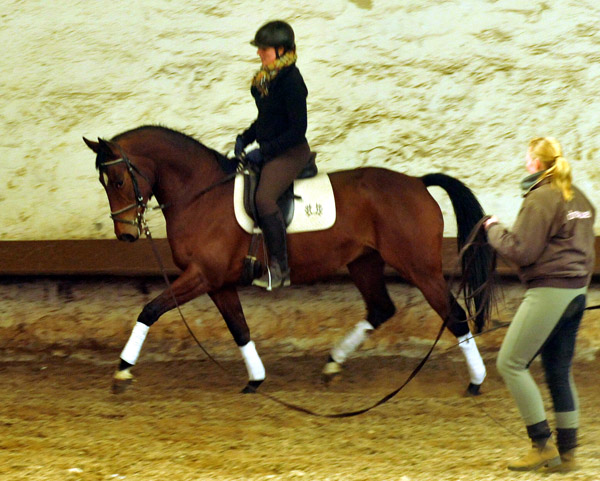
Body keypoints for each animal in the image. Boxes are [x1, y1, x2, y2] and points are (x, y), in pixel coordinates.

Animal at [84, 125, 496, 396]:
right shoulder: (218, 282)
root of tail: (417, 183)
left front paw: (122, 371)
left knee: (454, 314)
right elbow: (240, 329)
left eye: (118, 180)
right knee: (381, 308)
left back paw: (476, 381)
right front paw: (255, 379)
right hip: (364, 262)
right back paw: (332, 363)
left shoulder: (201, 276)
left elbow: (150, 310)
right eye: (103, 183)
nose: (126, 234)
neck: (200, 194)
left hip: (420, 268)